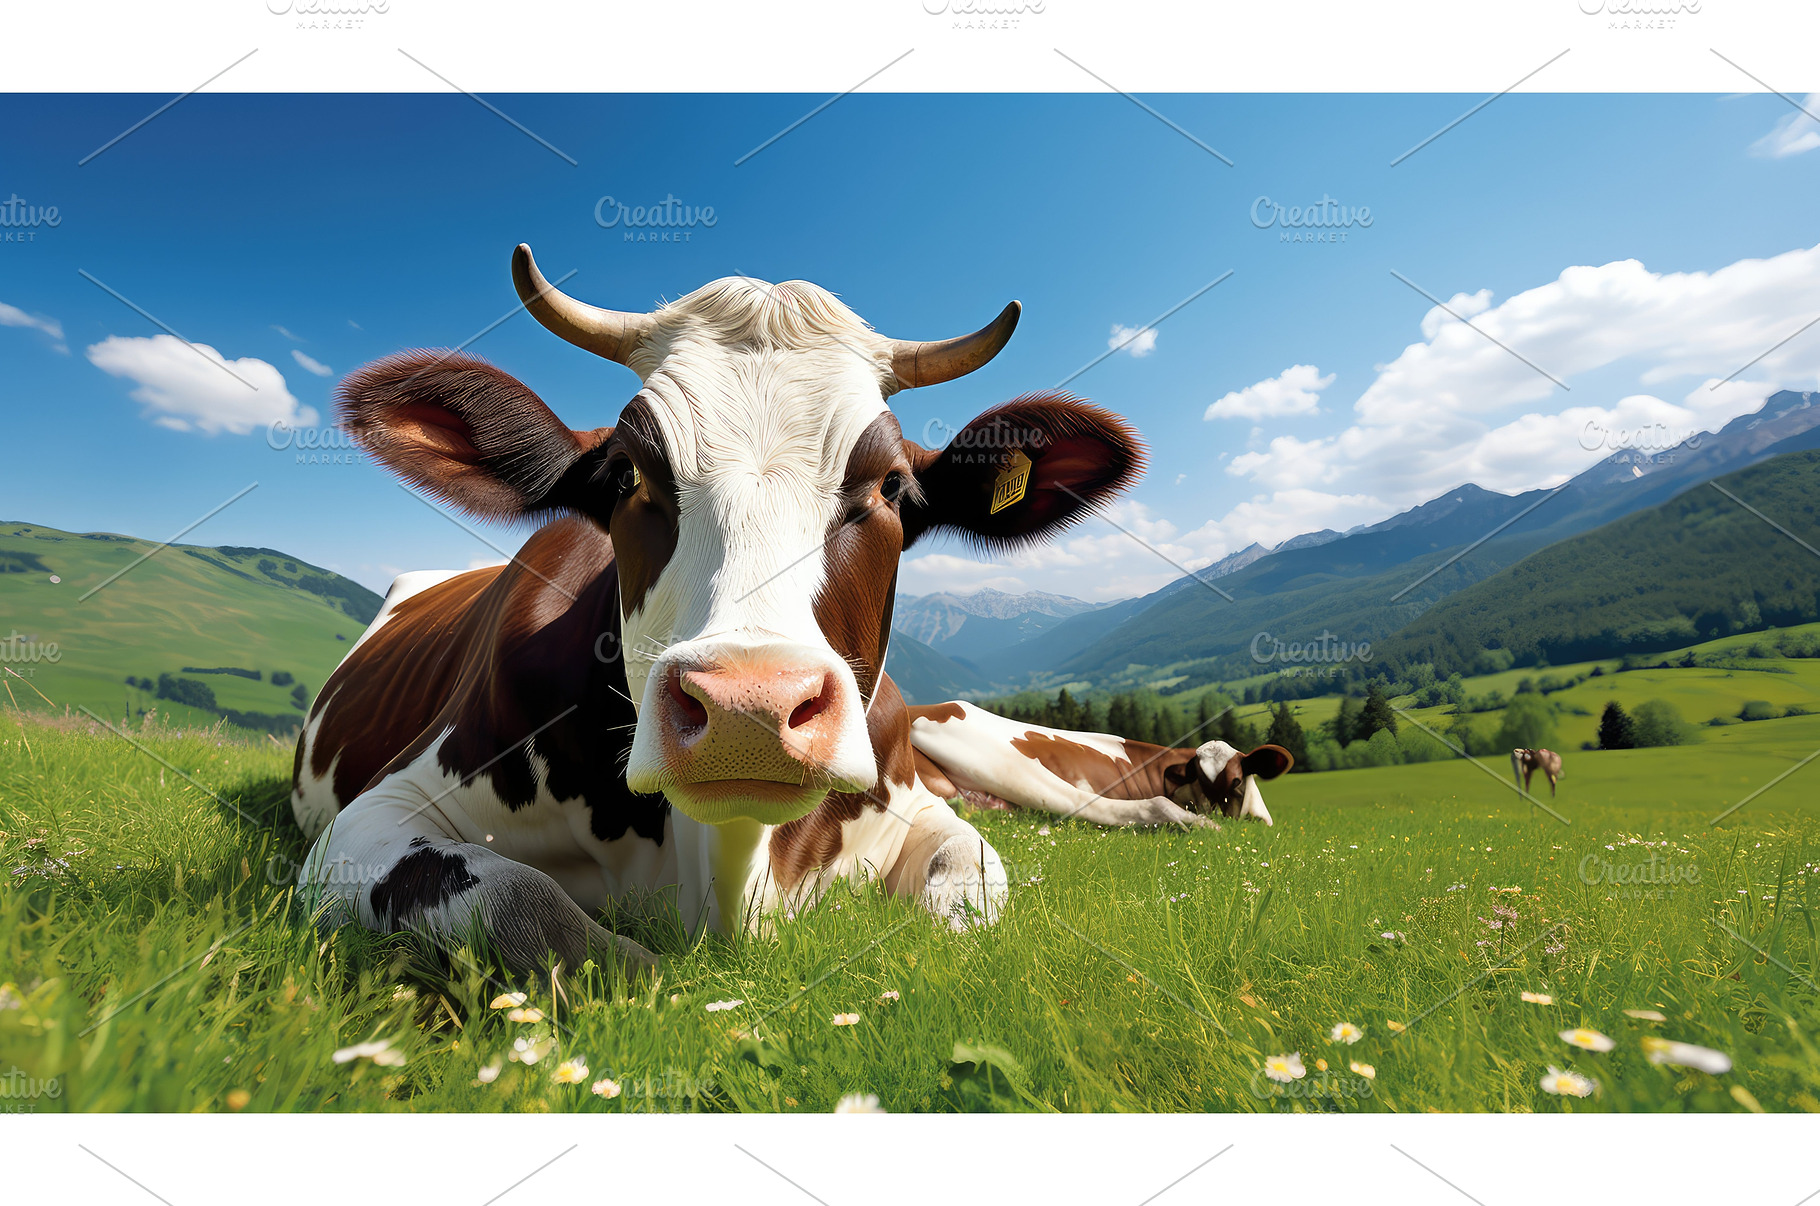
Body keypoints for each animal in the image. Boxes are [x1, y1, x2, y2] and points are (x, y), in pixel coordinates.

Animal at [291, 245, 1143, 972]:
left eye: (892, 486)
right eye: (629, 473)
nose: (748, 708)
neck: (727, 867)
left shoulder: (924, 807)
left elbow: (967, 885)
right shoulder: (371, 817)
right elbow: (527, 903)